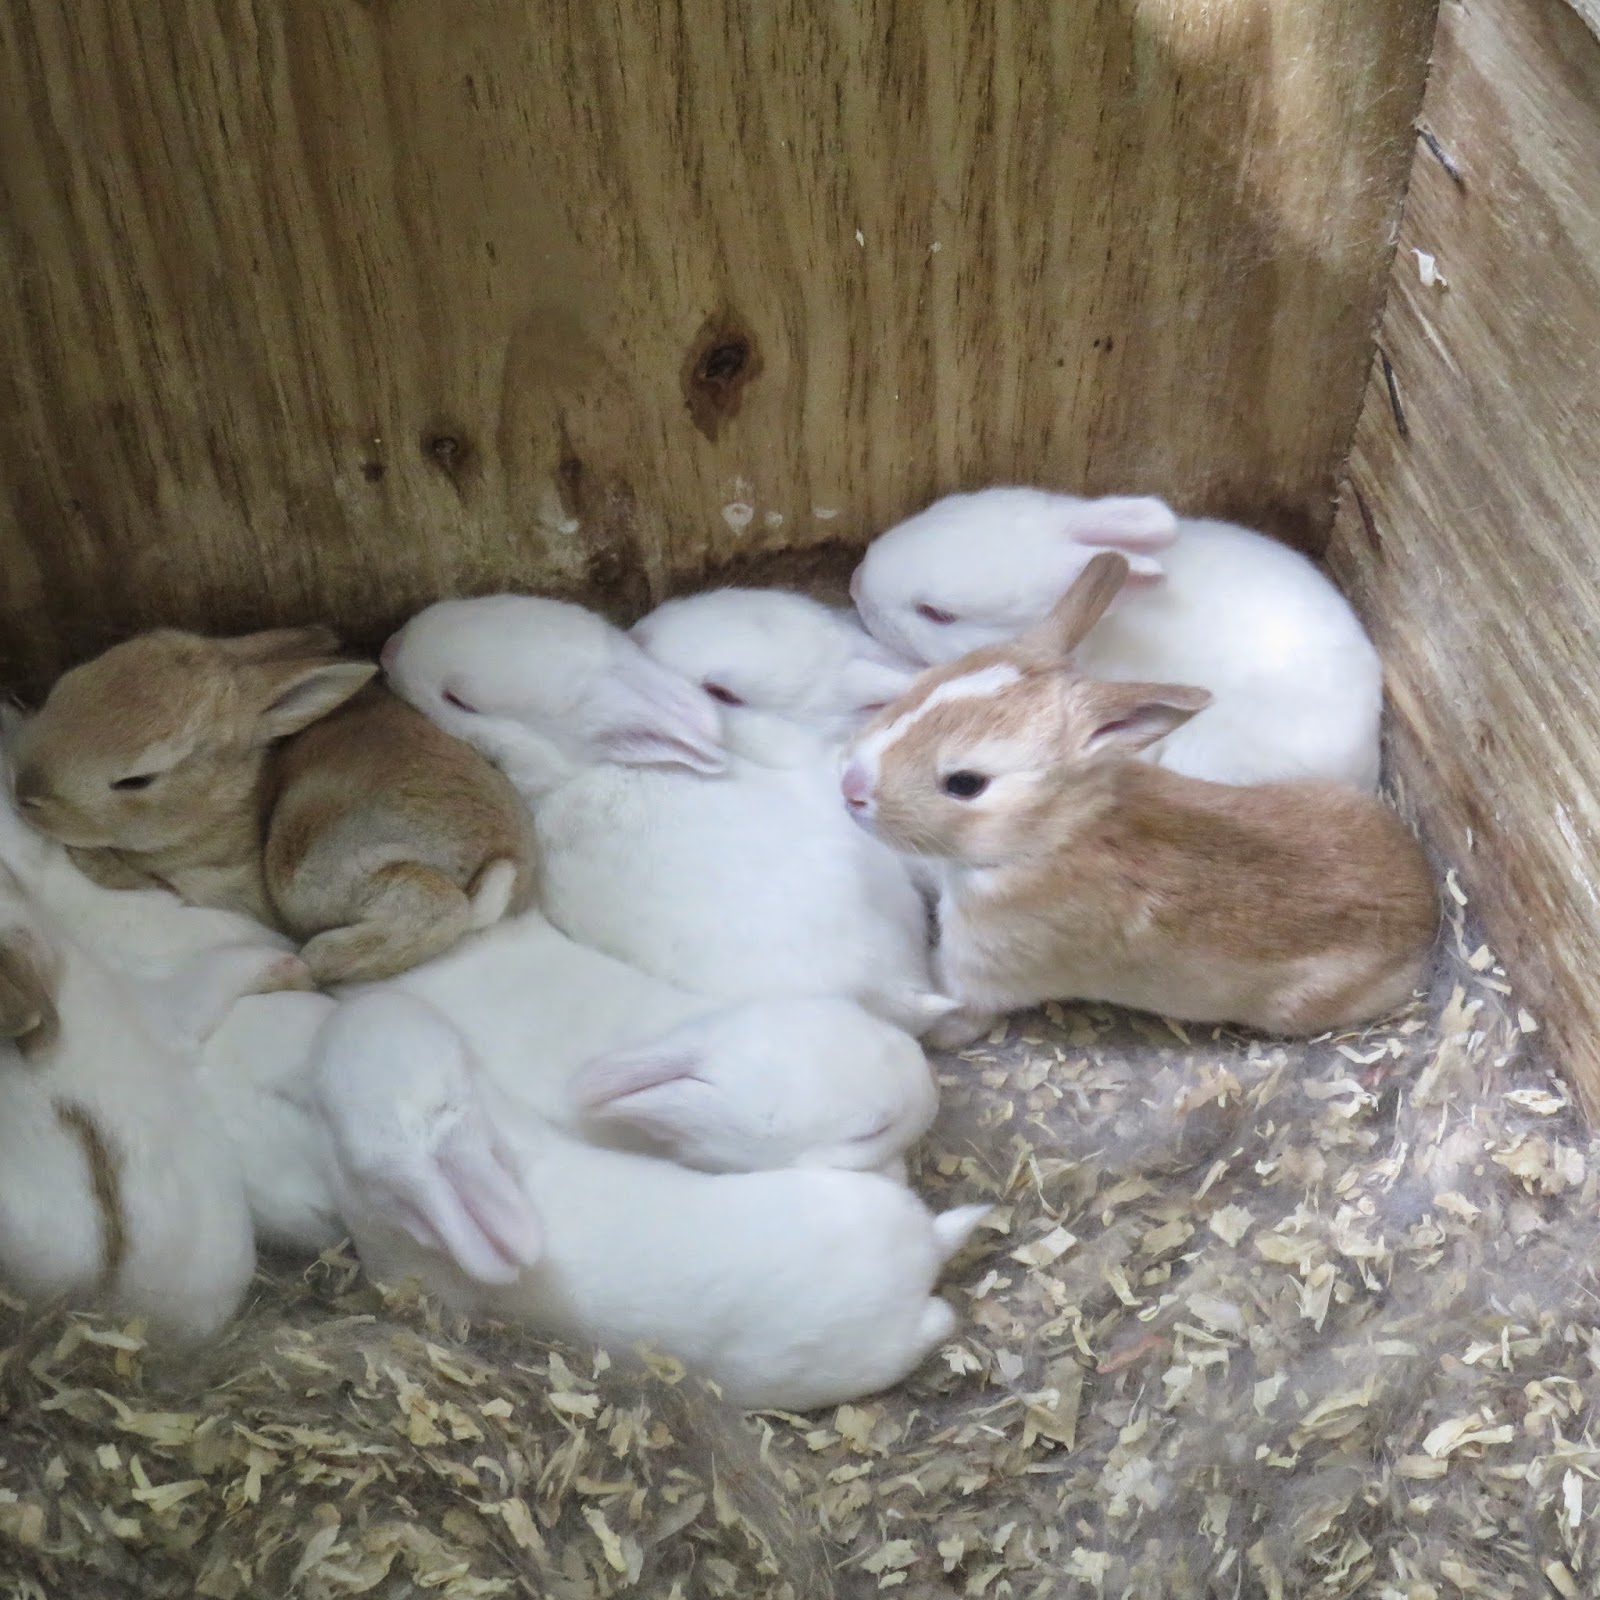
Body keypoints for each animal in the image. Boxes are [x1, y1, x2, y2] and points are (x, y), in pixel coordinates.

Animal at [9, 625, 538, 985]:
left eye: (137, 780)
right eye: (67, 683)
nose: (23, 796)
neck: (230, 798)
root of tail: (501, 861)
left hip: (310, 872)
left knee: (435, 906)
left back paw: (317, 959)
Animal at [840, 552, 1439, 1048]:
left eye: (966, 783)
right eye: (927, 686)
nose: (851, 787)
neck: (1059, 833)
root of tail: (1427, 910)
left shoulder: (982, 968)